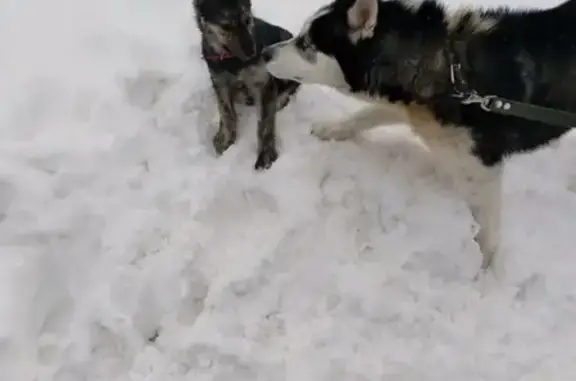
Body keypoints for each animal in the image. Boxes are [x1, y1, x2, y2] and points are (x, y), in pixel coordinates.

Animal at [194, 0, 302, 169]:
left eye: (247, 20)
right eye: (226, 26)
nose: (254, 53)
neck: (232, 60)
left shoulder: (263, 82)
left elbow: (265, 124)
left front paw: (266, 156)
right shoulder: (219, 82)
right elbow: (226, 112)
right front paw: (226, 140)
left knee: (291, 86)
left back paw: (279, 100)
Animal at [264, 0, 576, 268]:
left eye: (306, 44)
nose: (264, 51)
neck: (449, 71)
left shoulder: (483, 168)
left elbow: (487, 229)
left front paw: (485, 270)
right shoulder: (409, 108)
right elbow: (368, 114)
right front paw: (333, 128)